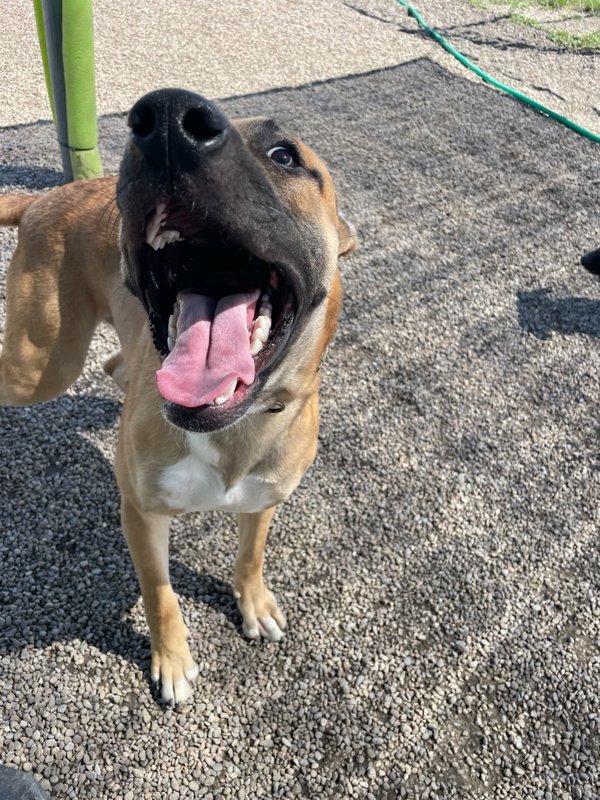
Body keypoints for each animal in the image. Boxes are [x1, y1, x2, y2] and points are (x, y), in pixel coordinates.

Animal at [0, 86, 356, 700]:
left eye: (285, 155)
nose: (167, 118)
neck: (236, 426)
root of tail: (43, 199)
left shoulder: (264, 499)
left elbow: (251, 554)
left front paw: (253, 602)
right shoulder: (142, 513)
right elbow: (160, 592)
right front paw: (171, 659)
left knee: (119, 363)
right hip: (38, 366)